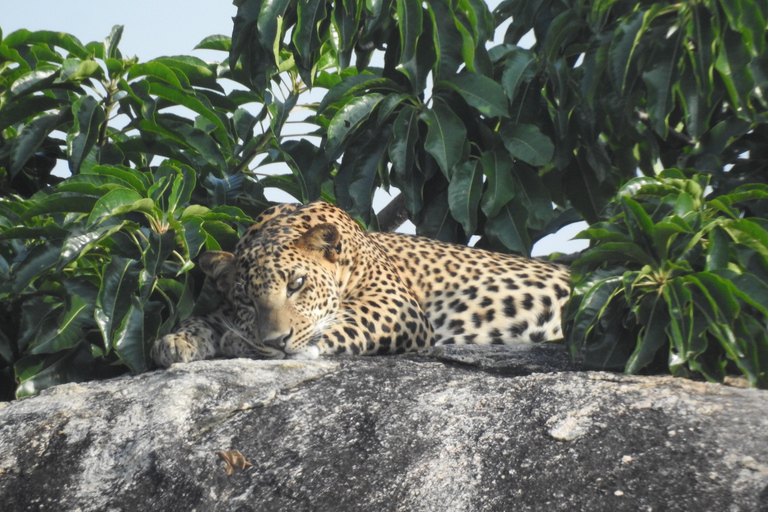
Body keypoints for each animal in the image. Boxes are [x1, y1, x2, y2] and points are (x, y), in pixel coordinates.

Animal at [152, 201, 571, 367]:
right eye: (247, 302)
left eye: (297, 284)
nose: (276, 341)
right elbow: (205, 318)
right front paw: (175, 341)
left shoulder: (396, 304)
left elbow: (341, 324)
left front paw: (241, 342)